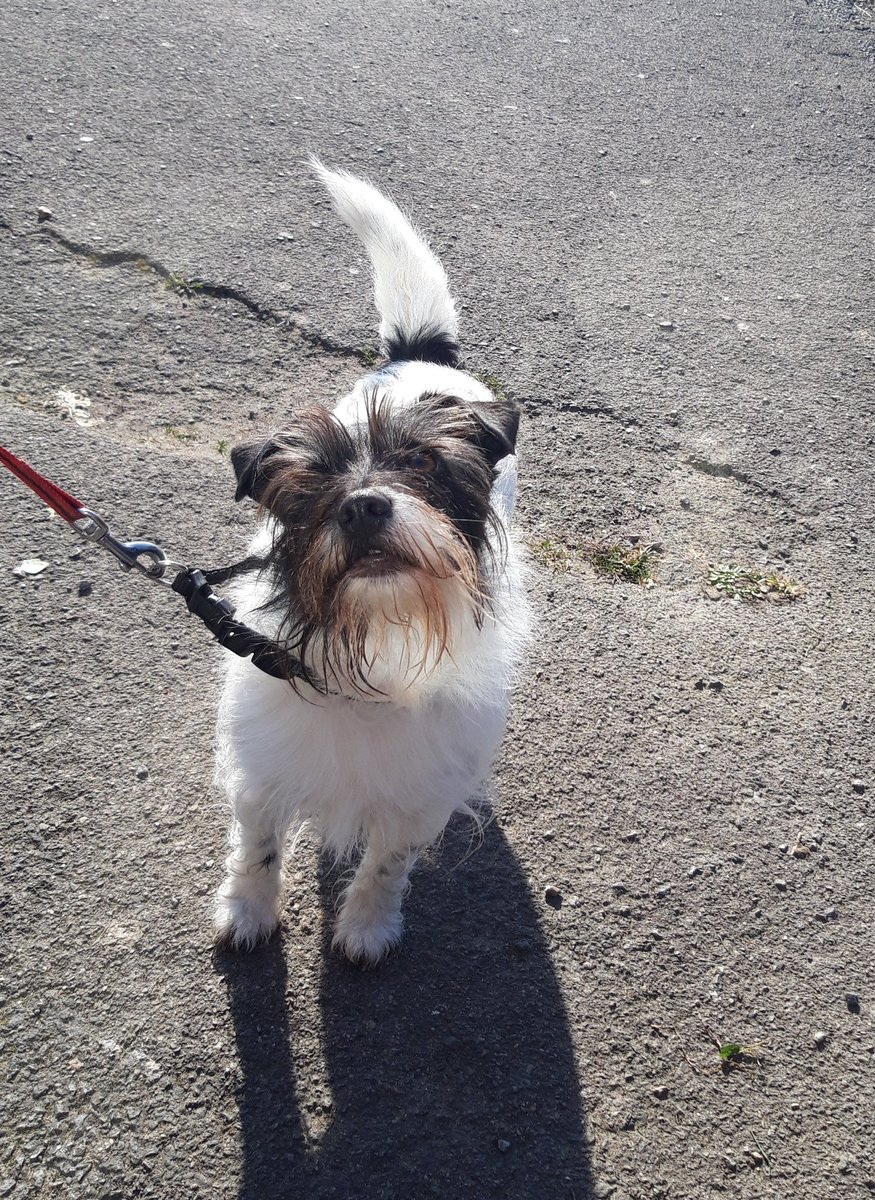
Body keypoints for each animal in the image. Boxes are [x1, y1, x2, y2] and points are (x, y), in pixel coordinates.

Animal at [214, 162, 528, 964]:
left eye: (422, 462)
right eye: (314, 479)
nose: (362, 506)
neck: (377, 631)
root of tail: (421, 351)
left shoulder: (417, 792)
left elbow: (388, 860)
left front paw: (365, 925)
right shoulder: (262, 771)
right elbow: (257, 848)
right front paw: (247, 912)